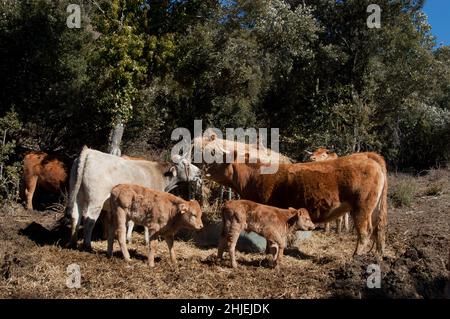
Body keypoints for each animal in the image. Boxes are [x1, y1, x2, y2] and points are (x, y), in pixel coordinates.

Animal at [67, 146, 200, 251]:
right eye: (186, 164)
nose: (199, 171)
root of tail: (89, 152)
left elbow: (132, 222)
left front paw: (129, 239)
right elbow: (146, 224)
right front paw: (147, 241)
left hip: (77, 195)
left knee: (75, 216)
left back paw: (73, 243)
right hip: (96, 199)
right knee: (89, 220)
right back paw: (87, 246)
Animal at [204, 151, 386, 256]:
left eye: (219, 161)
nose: (205, 170)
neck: (254, 177)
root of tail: (366, 156)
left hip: (362, 208)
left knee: (365, 232)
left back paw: (355, 256)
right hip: (373, 210)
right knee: (378, 229)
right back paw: (377, 255)